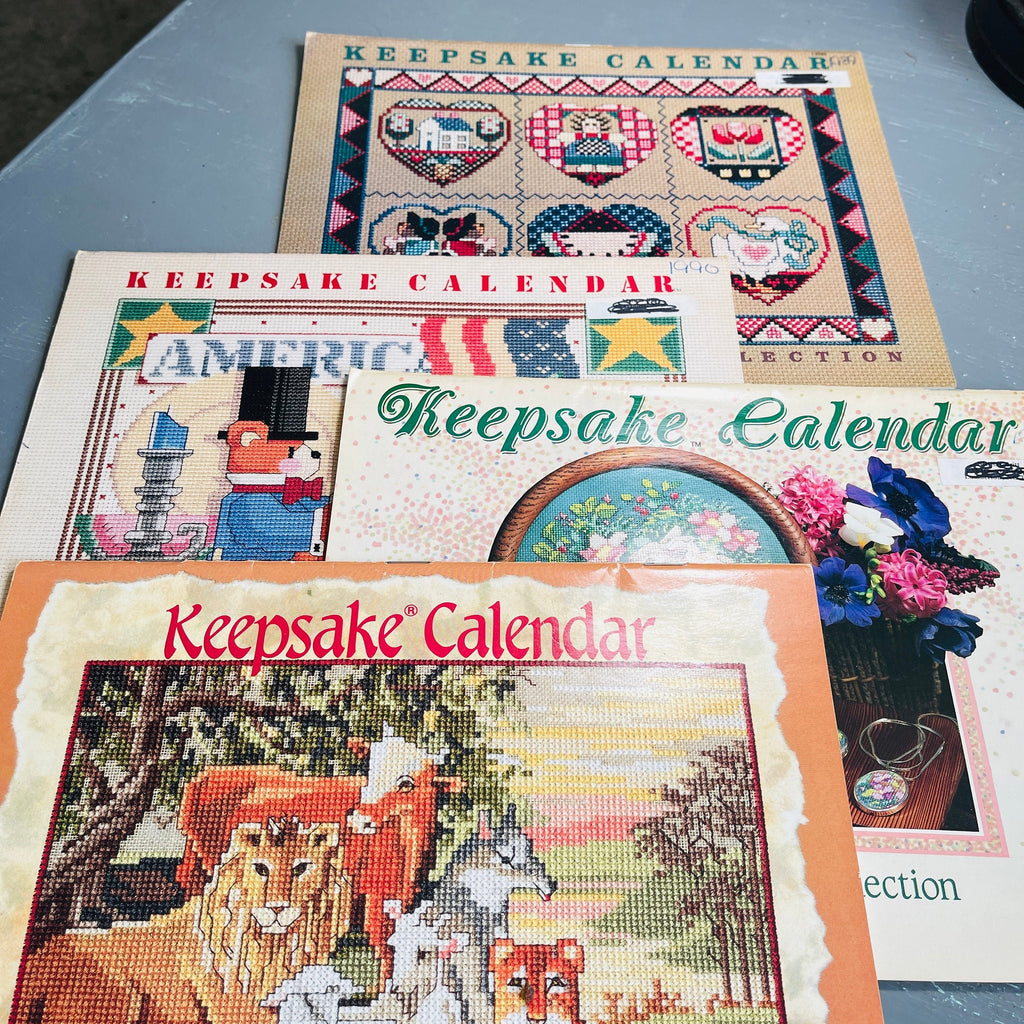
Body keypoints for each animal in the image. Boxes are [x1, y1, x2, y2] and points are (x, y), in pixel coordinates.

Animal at [14, 818, 352, 1024]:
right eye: (261, 868)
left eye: (301, 868)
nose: (277, 908)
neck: (272, 947)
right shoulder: (233, 1009)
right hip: (117, 995)